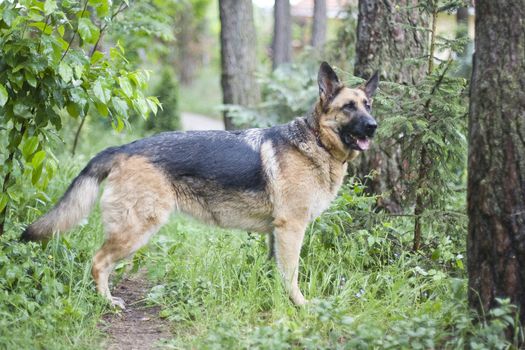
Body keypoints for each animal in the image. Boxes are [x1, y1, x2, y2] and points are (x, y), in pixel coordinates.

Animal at [23, 61, 376, 308]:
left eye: (368, 105)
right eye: (348, 107)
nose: (374, 126)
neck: (316, 141)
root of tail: (123, 148)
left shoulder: (276, 233)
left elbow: (275, 273)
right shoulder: (292, 229)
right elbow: (292, 276)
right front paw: (299, 306)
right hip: (137, 228)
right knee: (98, 263)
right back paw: (107, 303)